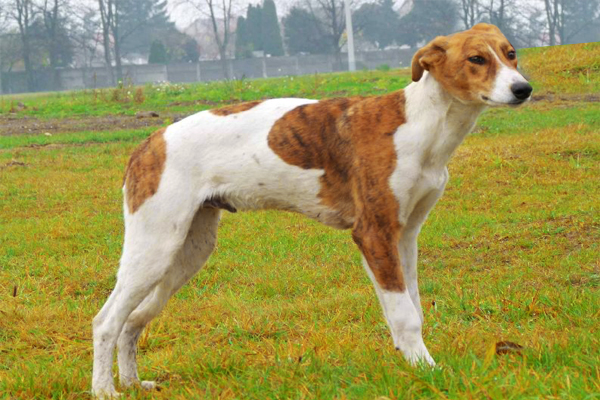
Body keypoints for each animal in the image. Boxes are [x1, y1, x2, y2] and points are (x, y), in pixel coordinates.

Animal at [91, 24, 532, 396]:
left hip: (186, 254)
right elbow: (405, 315)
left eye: (511, 54)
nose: (523, 89)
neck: (420, 124)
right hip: (154, 249)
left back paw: (132, 383)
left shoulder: (404, 238)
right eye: (476, 59)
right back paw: (105, 390)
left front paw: (413, 367)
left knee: (132, 321)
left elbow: (412, 309)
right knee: (106, 321)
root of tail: (150, 141)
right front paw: (428, 370)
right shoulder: (373, 234)